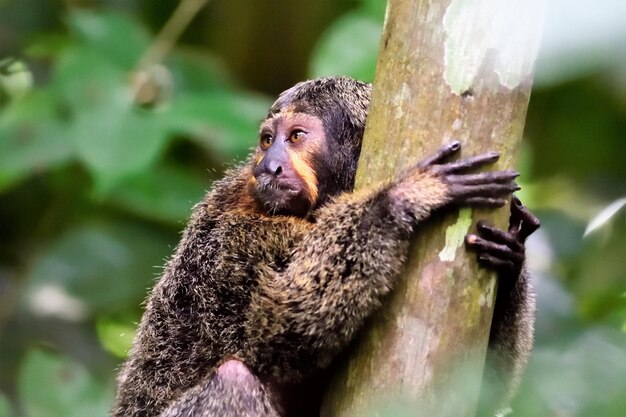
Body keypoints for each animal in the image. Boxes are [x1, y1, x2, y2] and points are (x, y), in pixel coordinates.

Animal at [111, 75, 536, 416]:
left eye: (296, 137)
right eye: (268, 140)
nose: (268, 166)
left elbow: (484, 392)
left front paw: (511, 254)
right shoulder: (242, 238)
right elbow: (279, 329)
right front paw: (400, 197)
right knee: (234, 380)